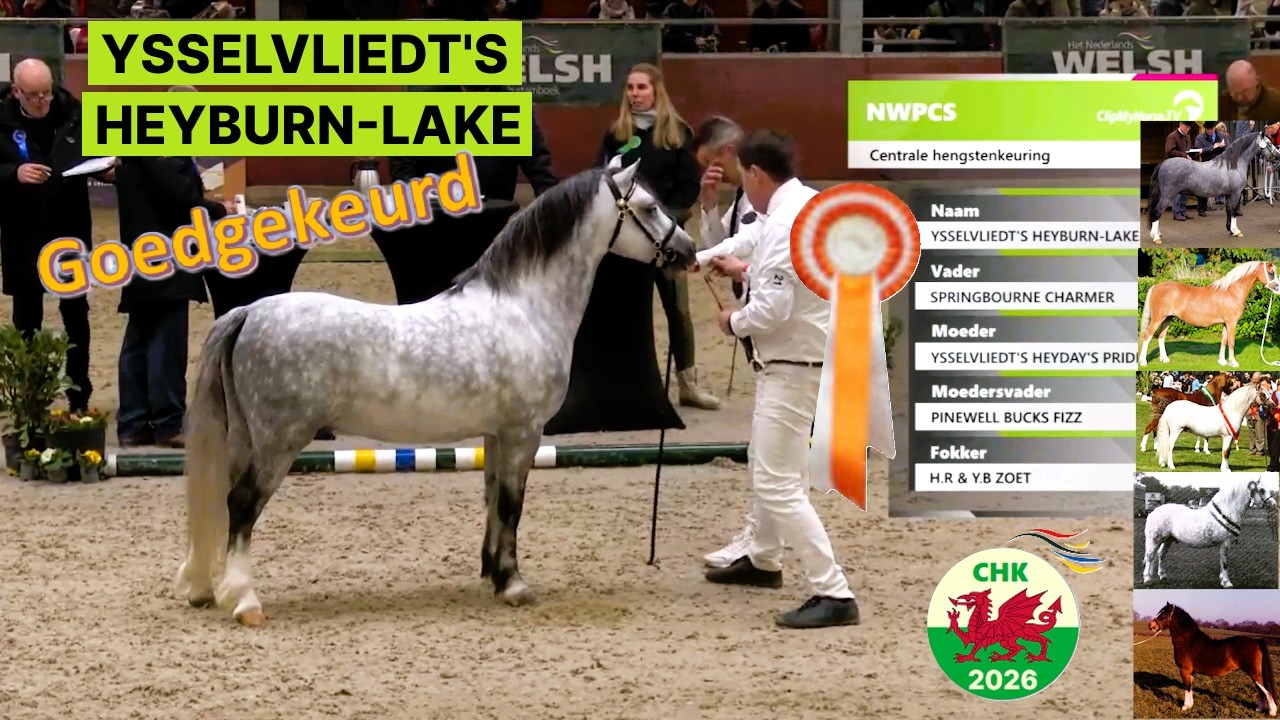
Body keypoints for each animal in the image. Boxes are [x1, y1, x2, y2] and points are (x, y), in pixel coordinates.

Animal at [173, 159, 698, 626]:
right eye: (650, 207)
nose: (689, 251)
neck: (523, 309)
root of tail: (248, 312)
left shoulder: (496, 434)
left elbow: (492, 498)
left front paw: (493, 575)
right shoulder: (523, 433)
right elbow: (511, 505)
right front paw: (514, 585)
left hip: (247, 439)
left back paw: (207, 589)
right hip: (278, 443)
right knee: (241, 506)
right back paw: (244, 600)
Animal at [1139, 260, 1280, 368]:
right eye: (1271, 273)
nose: (1277, 288)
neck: (1231, 292)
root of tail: (1156, 286)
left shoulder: (1225, 323)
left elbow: (1224, 341)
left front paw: (1222, 361)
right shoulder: (1232, 323)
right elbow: (1231, 342)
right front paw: (1233, 362)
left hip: (1167, 319)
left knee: (1161, 337)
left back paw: (1164, 359)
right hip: (1157, 319)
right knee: (1147, 336)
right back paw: (1143, 362)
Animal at [1141, 475, 1271, 588]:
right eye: (1262, 490)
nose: (1272, 504)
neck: (1226, 511)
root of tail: (1153, 512)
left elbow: (1222, 562)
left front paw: (1222, 580)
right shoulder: (1225, 543)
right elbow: (1225, 562)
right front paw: (1227, 583)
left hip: (1168, 540)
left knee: (1160, 555)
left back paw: (1162, 576)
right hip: (1154, 540)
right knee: (1150, 556)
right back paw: (1147, 579)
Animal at [1147, 602, 1277, 716]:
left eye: (1163, 613)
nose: (1150, 625)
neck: (1187, 640)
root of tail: (1256, 641)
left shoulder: (1184, 671)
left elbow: (1186, 687)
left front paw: (1184, 706)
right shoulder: (1191, 672)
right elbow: (1191, 687)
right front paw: (1190, 706)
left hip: (1253, 673)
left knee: (1266, 691)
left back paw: (1272, 711)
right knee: (1261, 691)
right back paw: (1259, 709)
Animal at [1148, 130, 1280, 244]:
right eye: (1269, 143)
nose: (1278, 155)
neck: (1233, 165)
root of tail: (1163, 164)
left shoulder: (1228, 195)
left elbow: (1228, 210)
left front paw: (1230, 230)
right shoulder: (1236, 193)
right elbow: (1234, 211)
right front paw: (1236, 231)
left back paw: (1157, 235)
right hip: (1167, 196)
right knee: (1157, 212)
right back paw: (1156, 237)